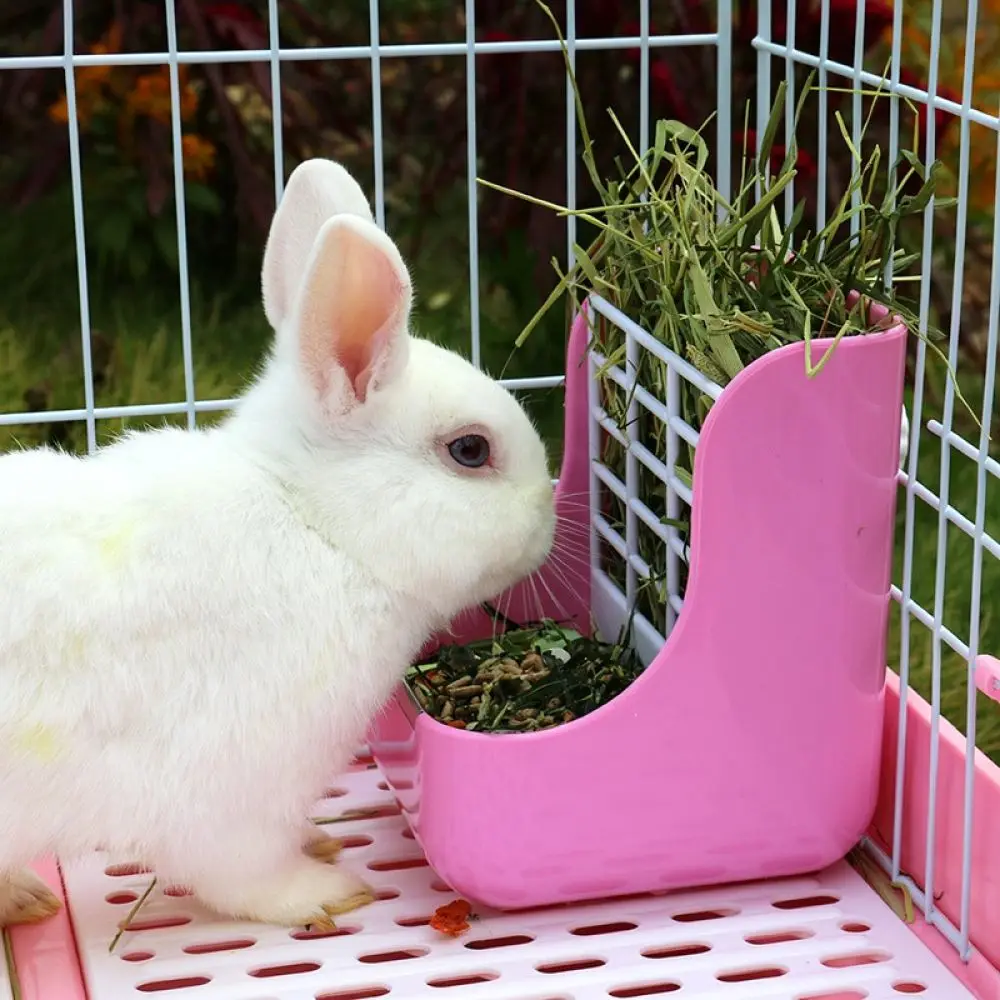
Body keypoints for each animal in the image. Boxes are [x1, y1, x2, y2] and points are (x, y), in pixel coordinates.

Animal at [0, 158, 556, 930]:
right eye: (470, 450)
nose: (550, 515)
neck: (317, 525)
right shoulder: (226, 792)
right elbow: (243, 872)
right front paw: (327, 890)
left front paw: (319, 843)